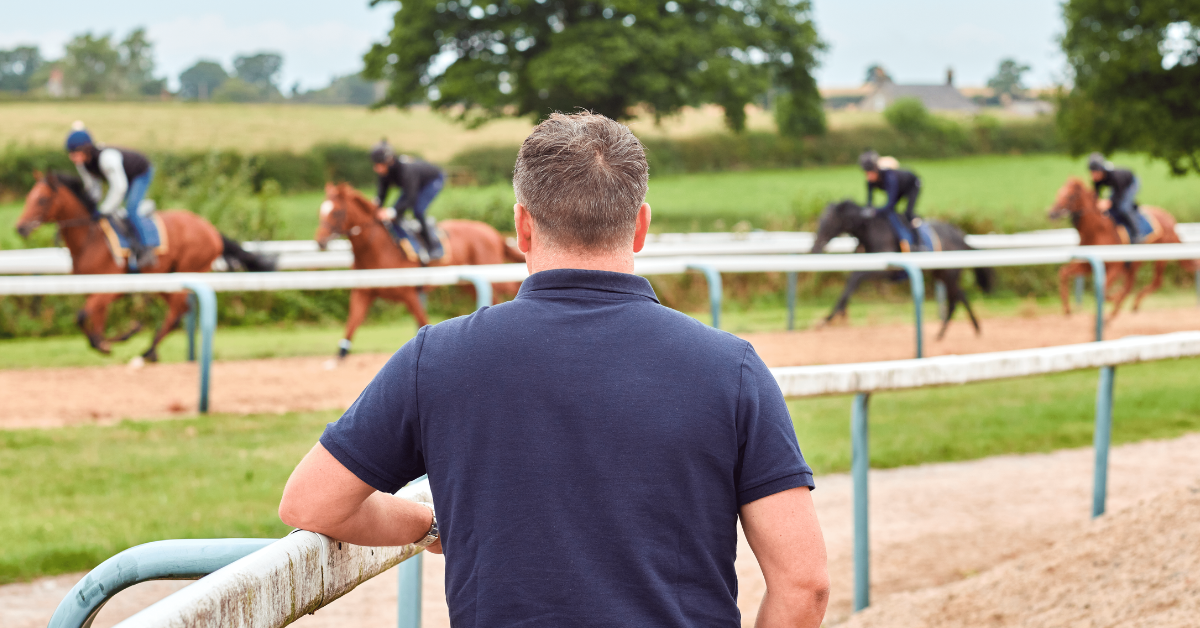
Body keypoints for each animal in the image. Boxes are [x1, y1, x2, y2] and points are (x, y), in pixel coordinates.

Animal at [16, 171, 274, 360]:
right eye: (28, 197)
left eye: (41, 199)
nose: (20, 227)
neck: (91, 238)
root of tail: (211, 230)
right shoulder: (93, 286)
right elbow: (93, 321)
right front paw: (109, 341)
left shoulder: (113, 286)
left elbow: (83, 316)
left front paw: (122, 336)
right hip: (164, 277)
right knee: (178, 309)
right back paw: (150, 350)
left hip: (187, 269)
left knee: (178, 310)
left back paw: (148, 352)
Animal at [314, 184, 525, 355]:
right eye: (321, 211)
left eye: (336, 212)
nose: (320, 242)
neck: (377, 248)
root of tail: (494, 233)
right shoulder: (363, 292)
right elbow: (351, 325)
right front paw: (338, 358)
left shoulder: (411, 294)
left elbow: (422, 320)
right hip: (469, 285)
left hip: (492, 274)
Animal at [816, 200, 993, 338]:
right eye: (820, 220)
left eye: (828, 221)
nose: (814, 247)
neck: (872, 230)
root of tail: (962, 236)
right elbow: (851, 280)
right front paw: (837, 315)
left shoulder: (884, 269)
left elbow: (855, 278)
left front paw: (830, 317)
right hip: (941, 273)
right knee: (962, 296)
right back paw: (971, 329)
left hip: (949, 273)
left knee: (956, 300)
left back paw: (944, 333)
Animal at [1046, 177, 1195, 319]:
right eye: (1058, 192)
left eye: (1070, 195)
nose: (1051, 213)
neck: (1096, 231)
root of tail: (1171, 220)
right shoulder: (1088, 264)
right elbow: (1063, 273)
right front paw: (1067, 309)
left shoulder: (1116, 266)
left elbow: (1103, 289)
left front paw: (1112, 298)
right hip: (1136, 262)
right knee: (1130, 285)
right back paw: (1118, 310)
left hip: (1160, 257)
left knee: (1155, 282)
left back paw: (1129, 305)